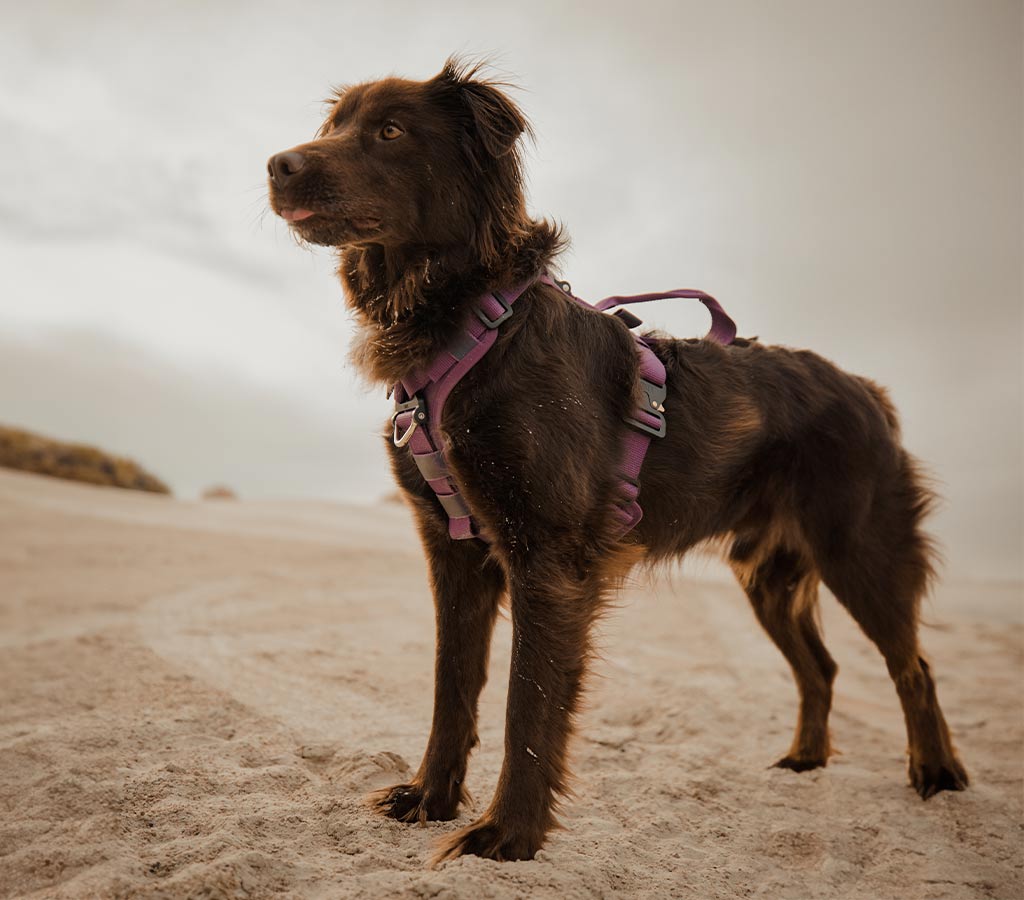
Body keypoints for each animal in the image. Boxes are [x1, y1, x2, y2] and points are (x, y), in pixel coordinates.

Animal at [266, 59, 966, 864]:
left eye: (389, 130)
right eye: (332, 126)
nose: (277, 165)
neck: (473, 326)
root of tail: (867, 390)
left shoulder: (549, 556)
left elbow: (529, 704)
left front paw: (508, 835)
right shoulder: (453, 548)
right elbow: (452, 687)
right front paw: (431, 800)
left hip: (861, 552)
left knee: (914, 666)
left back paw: (937, 771)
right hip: (765, 575)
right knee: (821, 667)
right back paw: (807, 758)